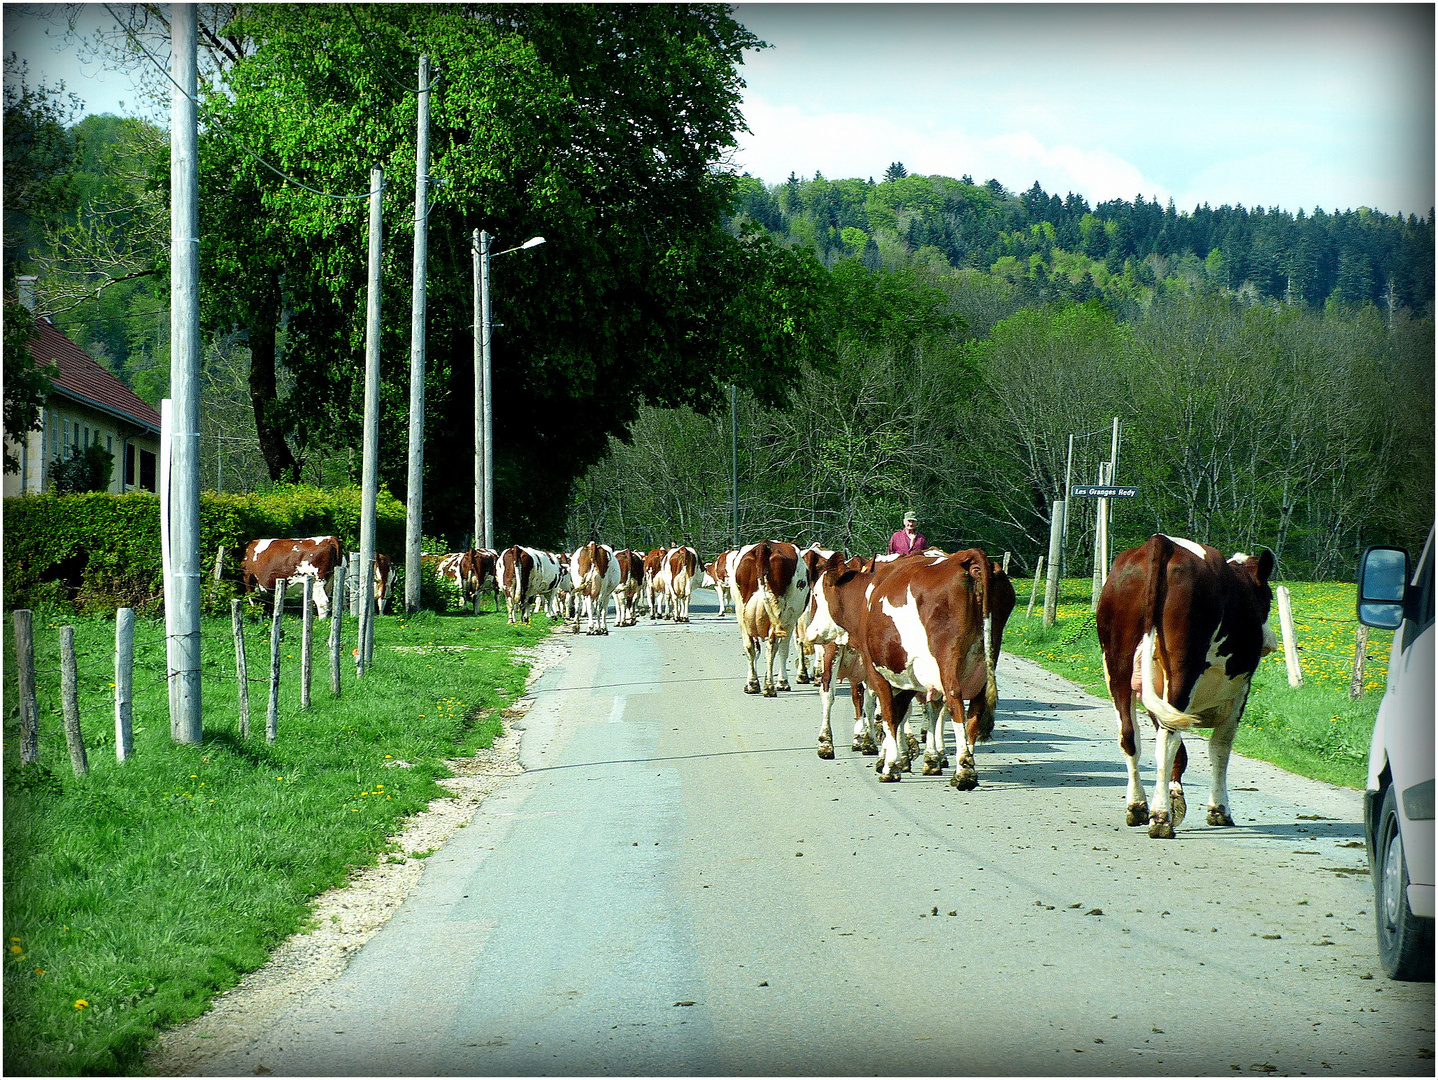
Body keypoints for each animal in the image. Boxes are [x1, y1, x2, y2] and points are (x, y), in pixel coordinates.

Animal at [730, 540, 811, 701]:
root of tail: (764, 545)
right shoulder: (790, 620)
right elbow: (784, 649)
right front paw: (782, 682)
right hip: (778, 612)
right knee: (772, 647)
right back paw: (769, 687)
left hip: (741, 612)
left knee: (749, 646)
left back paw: (753, 684)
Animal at [1092, 537, 1276, 839]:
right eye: (1269, 598)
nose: (1270, 641)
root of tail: (1160, 542)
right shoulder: (1239, 692)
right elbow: (1220, 749)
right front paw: (1218, 810)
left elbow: (1181, 749)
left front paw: (1176, 797)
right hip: (1182, 670)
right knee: (1166, 742)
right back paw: (1160, 818)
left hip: (1118, 666)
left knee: (1130, 736)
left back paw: (1138, 807)